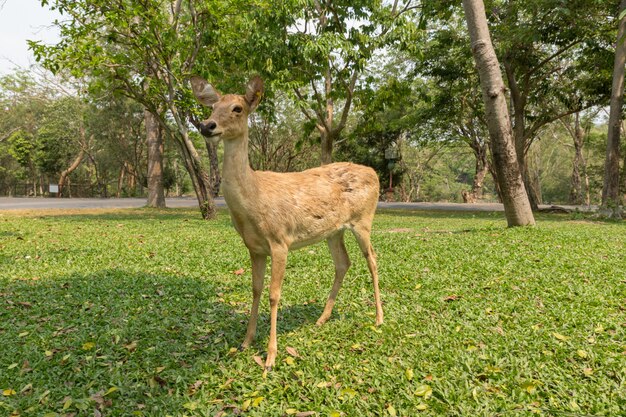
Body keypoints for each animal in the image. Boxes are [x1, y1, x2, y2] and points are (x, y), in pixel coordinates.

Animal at [188, 74, 380, 368]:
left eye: (237, 108)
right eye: (212, 107)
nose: (207, 126)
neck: (254, 199)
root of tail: (375, 173)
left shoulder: (280, 240)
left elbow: (273, 294)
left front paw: (270, 356)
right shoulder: (254, 247)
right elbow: (255, 289)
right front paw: (246, 341)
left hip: (363, 219)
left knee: (372, 259)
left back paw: (379, 318)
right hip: (333, 231)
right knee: (343, 263)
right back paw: (321, 319)